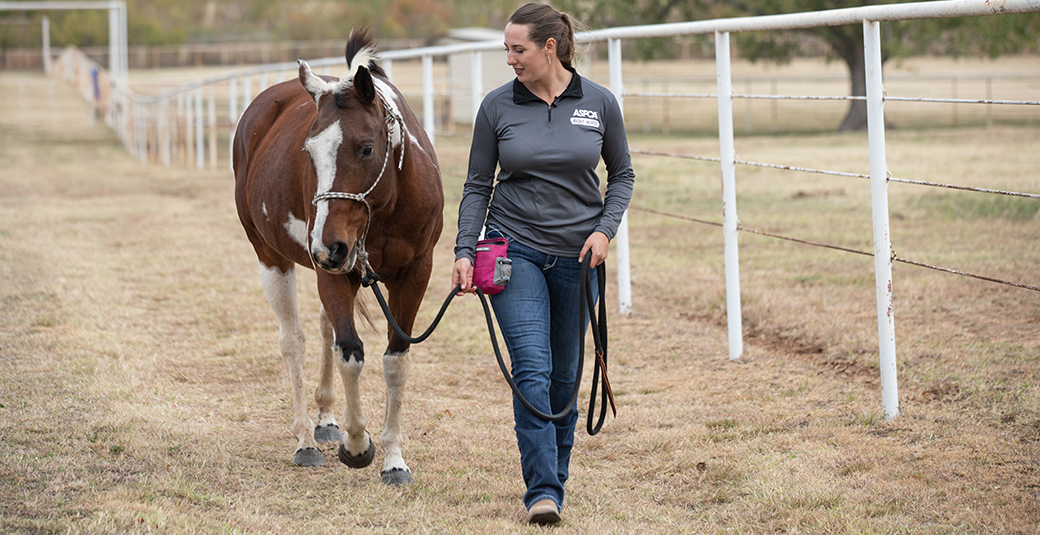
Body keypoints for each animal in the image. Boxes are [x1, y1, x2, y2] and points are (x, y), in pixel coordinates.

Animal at [233, 32, 445, 482]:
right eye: (308, 152)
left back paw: (326, 420)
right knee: (293, 340)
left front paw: (394, 459)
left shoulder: (416, 273)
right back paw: (305, 441)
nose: (326, 245)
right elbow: (350, 352)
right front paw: (357, 444)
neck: (385, 209)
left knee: (323, 327)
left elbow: (395, 361)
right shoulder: (331, 271)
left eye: (366, 149)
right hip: (271, 256)